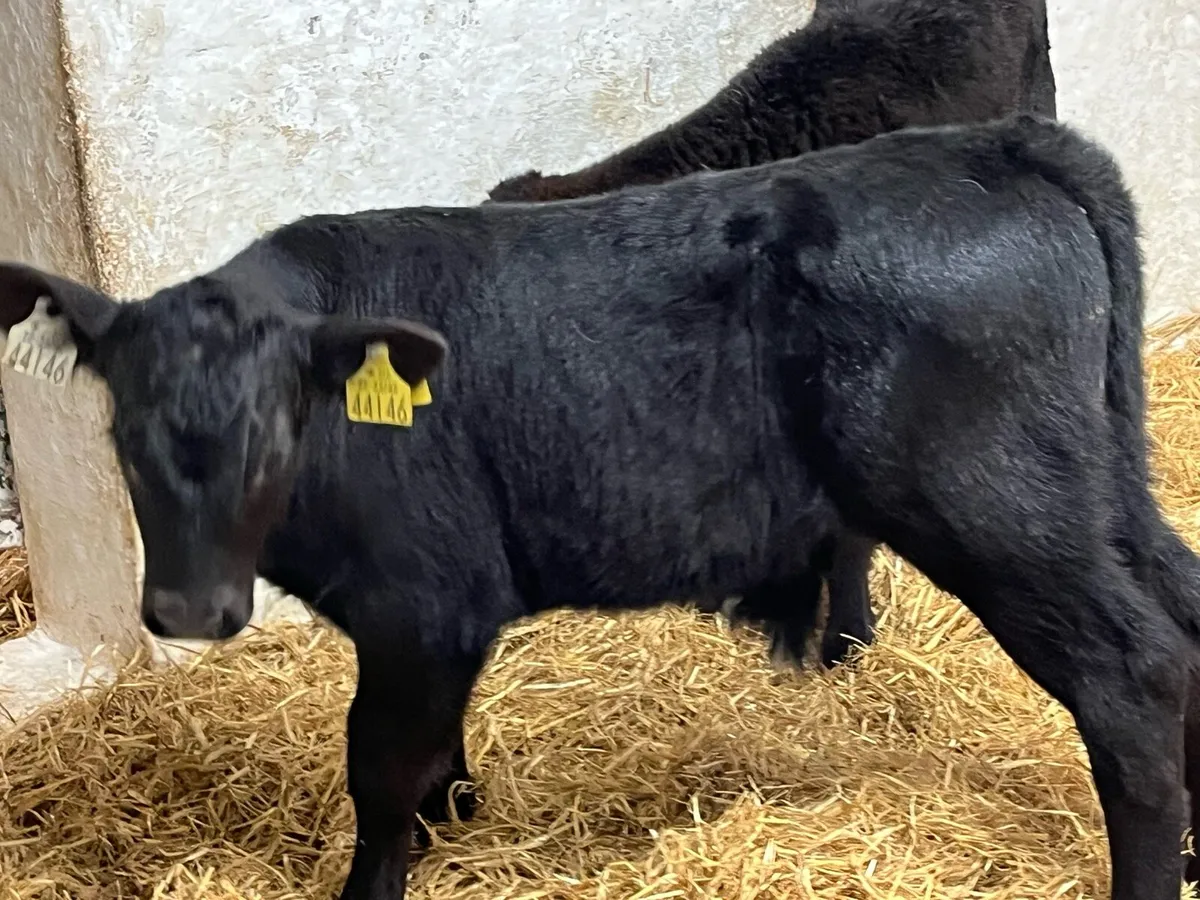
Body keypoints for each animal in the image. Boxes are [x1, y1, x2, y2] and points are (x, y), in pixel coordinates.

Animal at [1, 115, 1196, 900]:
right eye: (122, 433)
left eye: (278, 432)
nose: (189, 612)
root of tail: (992, 144)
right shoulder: (438, 624)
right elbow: (433, 753)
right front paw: (457, 817)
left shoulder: (423, 603)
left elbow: (380, 774)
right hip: (1096, 485)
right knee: (1184, 621)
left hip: (997, 506)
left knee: (1131, 676)